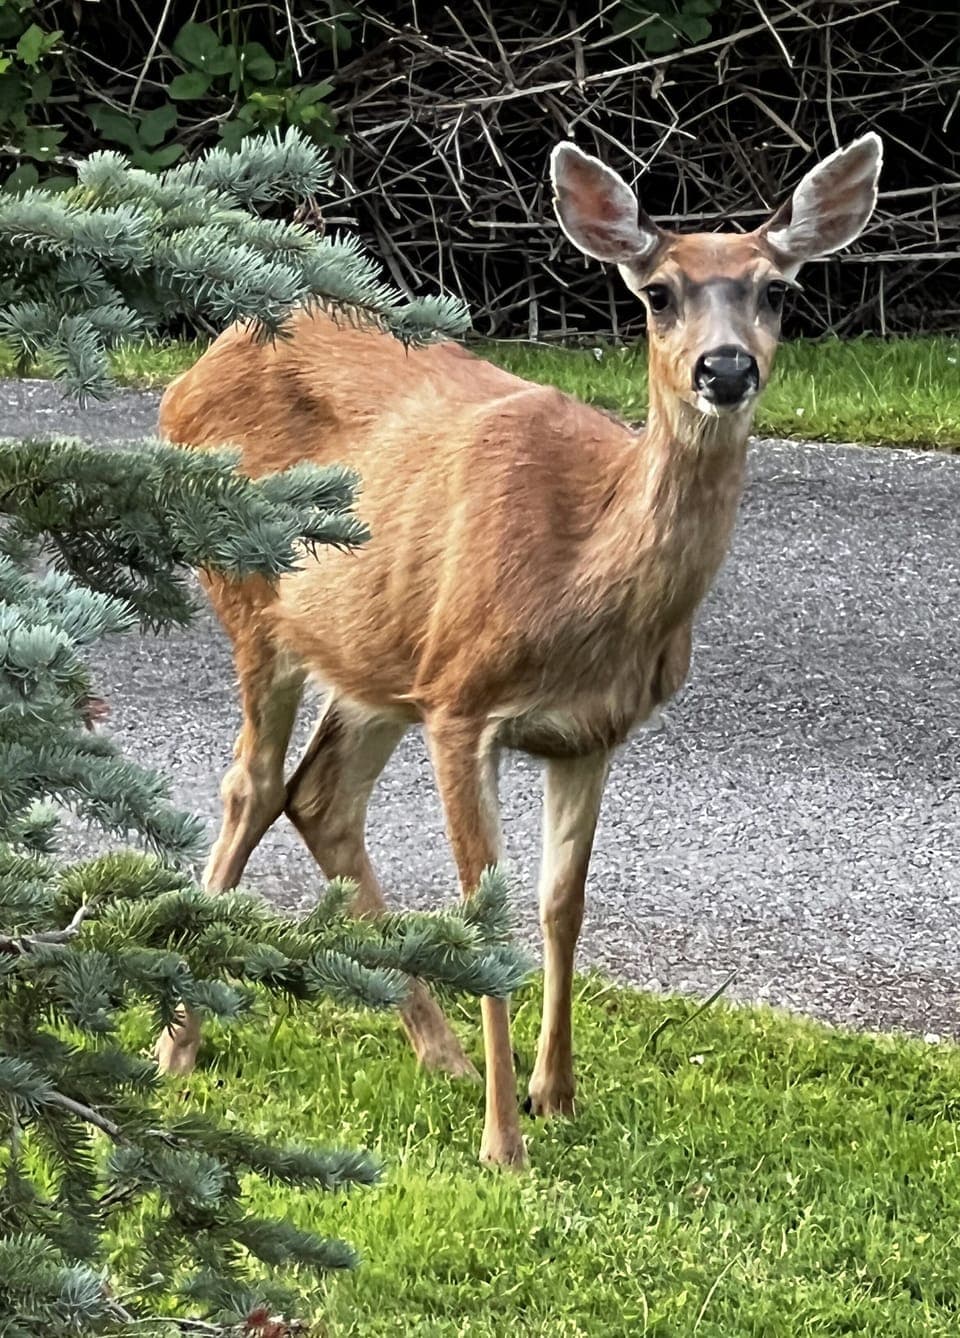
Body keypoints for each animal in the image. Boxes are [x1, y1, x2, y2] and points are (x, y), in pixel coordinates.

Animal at [155, 133, 882, 1168]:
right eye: (658, 292)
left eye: (776, 289)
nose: (726, 368)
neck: (582, 574)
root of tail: (193, 370)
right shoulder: (464, 703)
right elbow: (484, 912)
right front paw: (504, 1142)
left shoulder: (590, 732)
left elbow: (560, 905)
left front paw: (555, 1094)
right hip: (252, 595)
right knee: (251, 784)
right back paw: (179, 1047)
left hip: (379, 656)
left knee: (321, 796)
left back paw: (441, 1053)